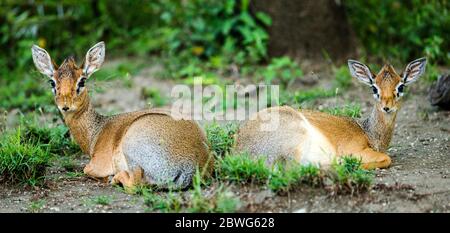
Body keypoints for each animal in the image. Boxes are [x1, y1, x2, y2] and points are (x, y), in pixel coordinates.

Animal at [31, 41, 213, 189]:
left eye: (82, 81)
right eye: (52, 82)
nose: (65, 106)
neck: (96, 131)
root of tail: (191, 167)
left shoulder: (96, 164)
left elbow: (86, 169)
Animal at [234, 57, 428, 168]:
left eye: (401, 86)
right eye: (374, 88)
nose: (387, 106)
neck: (369, 133)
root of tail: (240, 150)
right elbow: (386, 159)